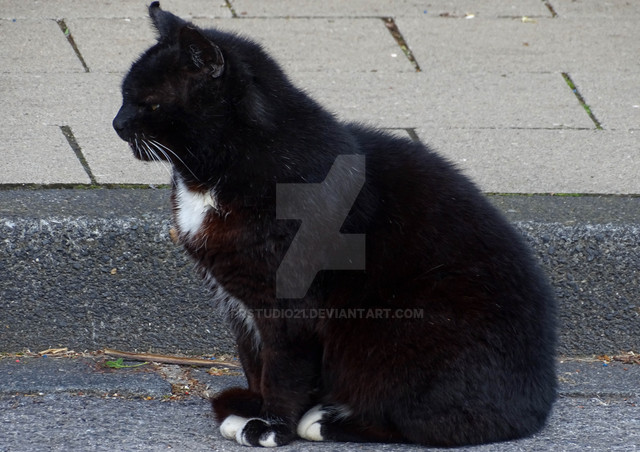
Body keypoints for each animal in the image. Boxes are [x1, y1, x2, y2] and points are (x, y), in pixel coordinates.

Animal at [113, 2, 557, 448]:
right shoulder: (238, 302)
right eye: (123, 96)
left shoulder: (287, 305)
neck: (209, 176)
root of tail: (538, 405)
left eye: (149, 104)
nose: (116, 124)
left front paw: (273, 425)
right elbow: (254, 361)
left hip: (395, 333)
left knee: (428, 422)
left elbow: (283, 369)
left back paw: (326, 420)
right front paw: (254, 407)